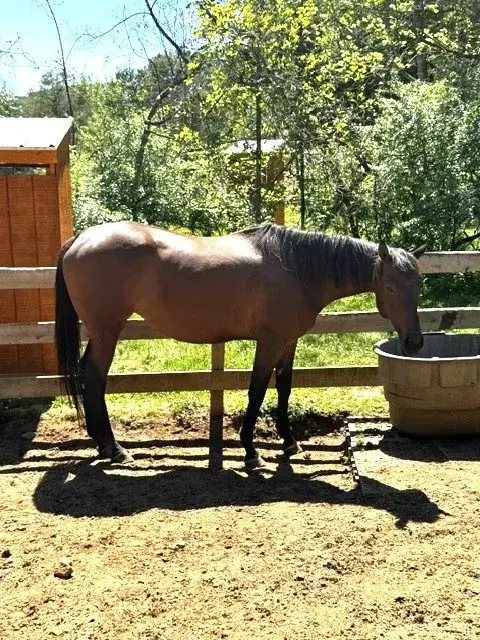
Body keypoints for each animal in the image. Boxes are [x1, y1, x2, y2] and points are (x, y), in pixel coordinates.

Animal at [54, 222, 426, 469]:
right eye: (390, 287)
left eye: (419, 284)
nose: (414, 342)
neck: (296, 269)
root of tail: (80, 239)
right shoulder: (269, 341)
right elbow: (257, 390)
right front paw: (251, 450)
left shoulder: (288, 341)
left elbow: (284, 388)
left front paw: (289, 442)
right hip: (107, 331)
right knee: (95, 378)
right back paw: (114, 448)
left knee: (88, 377)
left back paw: (102, 444)